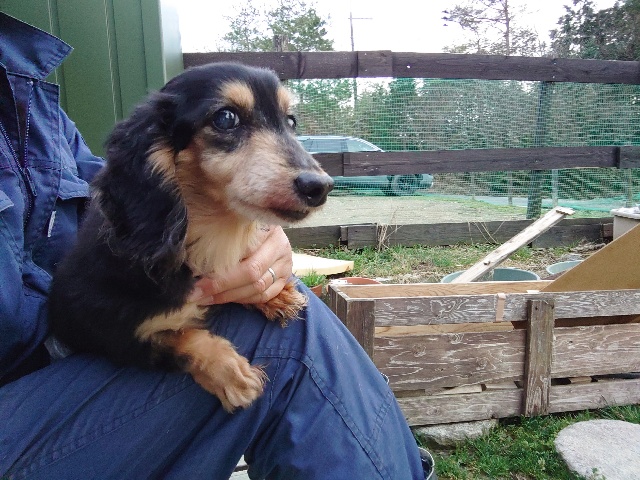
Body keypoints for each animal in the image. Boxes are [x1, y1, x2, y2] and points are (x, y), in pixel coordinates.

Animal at [48, 62, 334, 411]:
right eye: (226, 118)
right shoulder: (116, 334)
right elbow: (179, 337)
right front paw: (230, 373)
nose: (320, 187)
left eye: (290, 121)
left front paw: (273, 296)